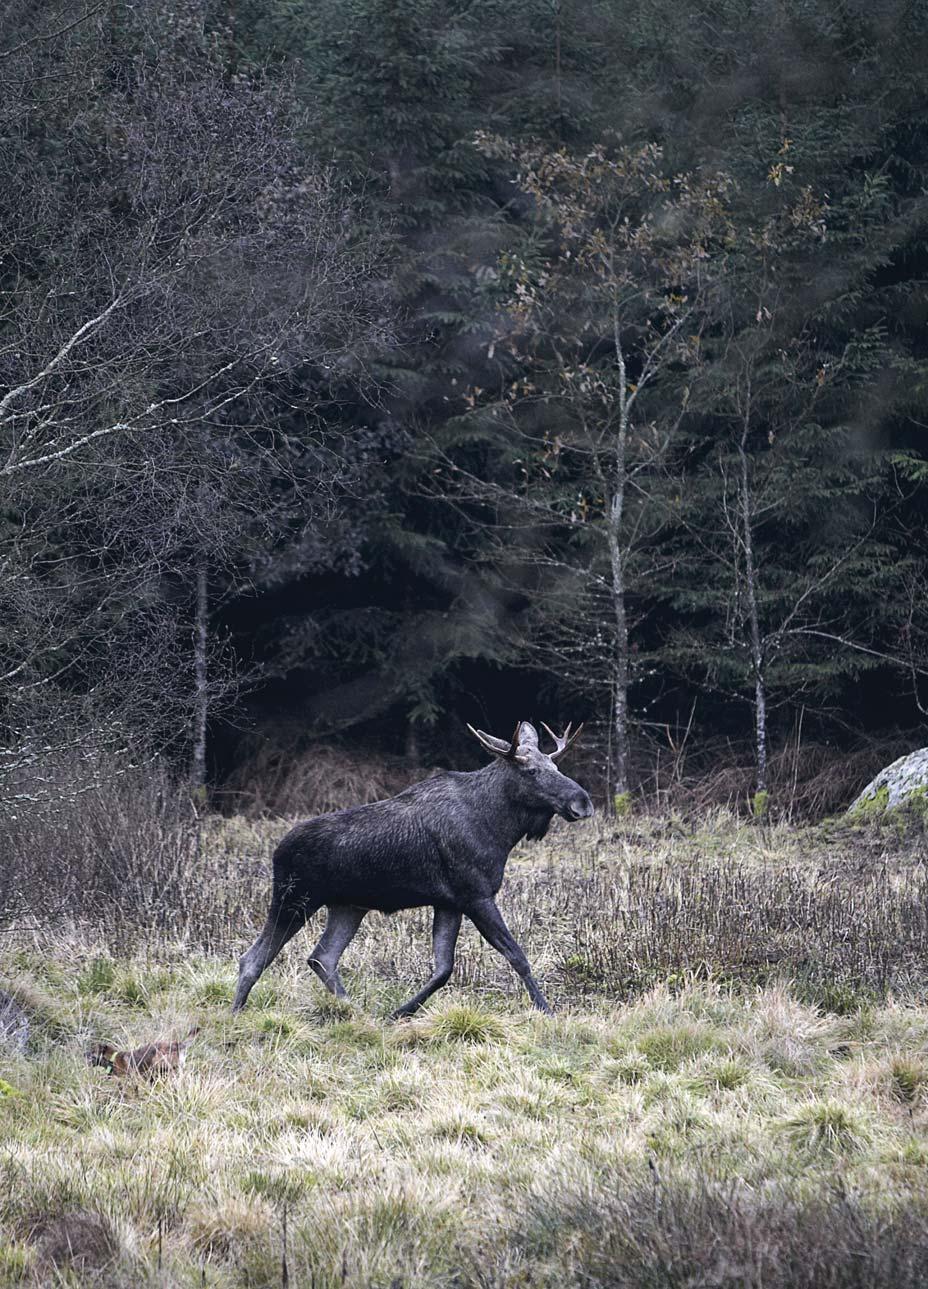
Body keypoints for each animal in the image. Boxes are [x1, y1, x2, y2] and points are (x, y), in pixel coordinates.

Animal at [233, 721, 595, 1010]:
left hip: (347, 906)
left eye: (556, 767)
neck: (500, 829)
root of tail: (276, 852)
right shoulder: (476, 894)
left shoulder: (450, 902)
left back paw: (355, 1011)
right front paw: (546, 1009)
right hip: (294, 898)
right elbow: (517, 956)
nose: (583, 802)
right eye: (532, 771)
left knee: (321, 957)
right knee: (252, 958)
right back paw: (236, 1014)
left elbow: (443, 969)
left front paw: (401, 1012)